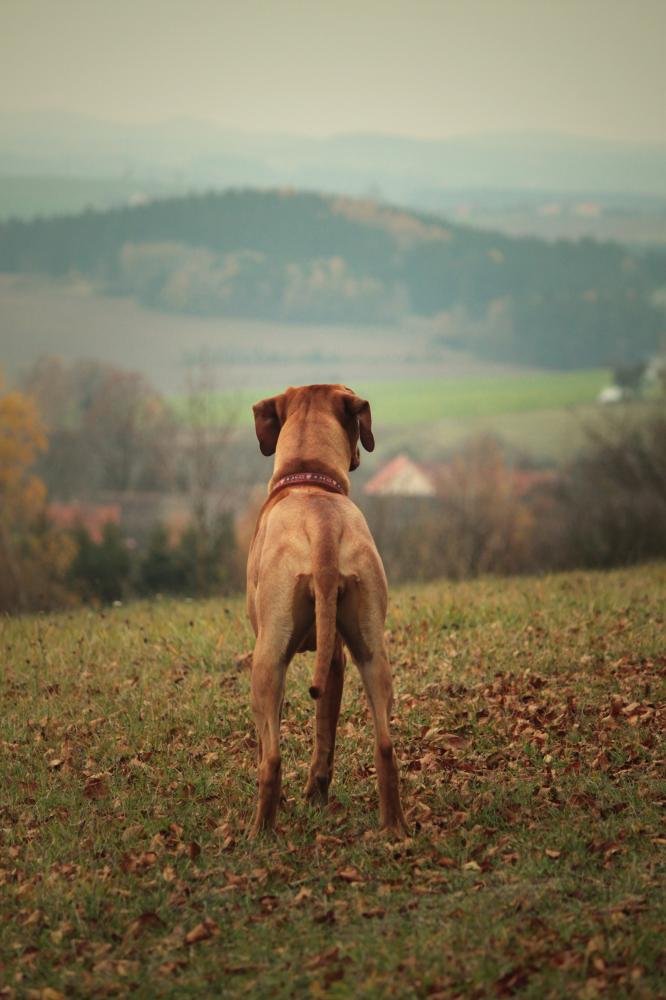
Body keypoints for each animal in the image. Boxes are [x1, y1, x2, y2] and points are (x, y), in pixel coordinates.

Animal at [246, 382, 408, 836]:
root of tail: (321, 528)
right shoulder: (334, 657)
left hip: (266, 663)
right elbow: (326, 732)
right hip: (372, 651)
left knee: (271, 758)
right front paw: (316, 792)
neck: (310, 481)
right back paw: (394, 828)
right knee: (385, 744)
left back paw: (259, 832)